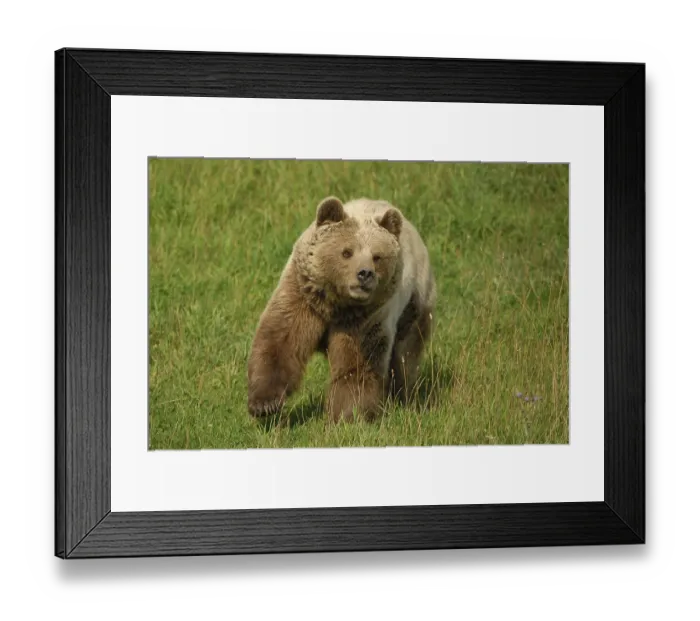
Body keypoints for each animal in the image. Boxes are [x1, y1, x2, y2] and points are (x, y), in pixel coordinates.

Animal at [247, 196, 436, 423]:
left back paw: (403, 397)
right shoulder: (304, 296)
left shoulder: (365, 317)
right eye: (347, 252)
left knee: (405, 356)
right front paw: (265, 404)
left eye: (377, 256)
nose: (365, 274)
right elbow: (281, 341)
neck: (335, 304)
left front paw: (348, 415)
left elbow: (356, 364)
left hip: (414, 303)